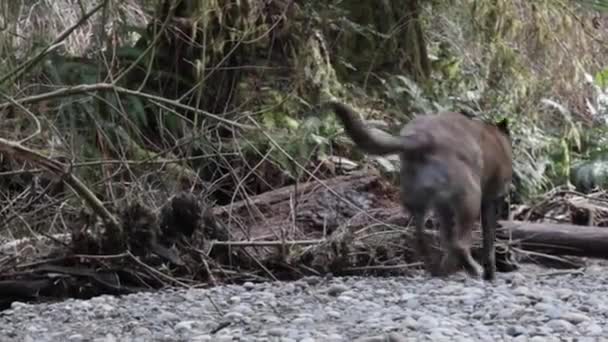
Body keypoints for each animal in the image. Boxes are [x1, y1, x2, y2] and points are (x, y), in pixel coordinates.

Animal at [326, 101, 510, 280]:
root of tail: (422, 138)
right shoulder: (491, 199)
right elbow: (489, 242)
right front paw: (490, 272)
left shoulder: (444, 206)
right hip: (470, 199)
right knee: (459, 243)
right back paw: (468, 268)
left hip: (420, 202)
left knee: (424, 239)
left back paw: (437, 268)